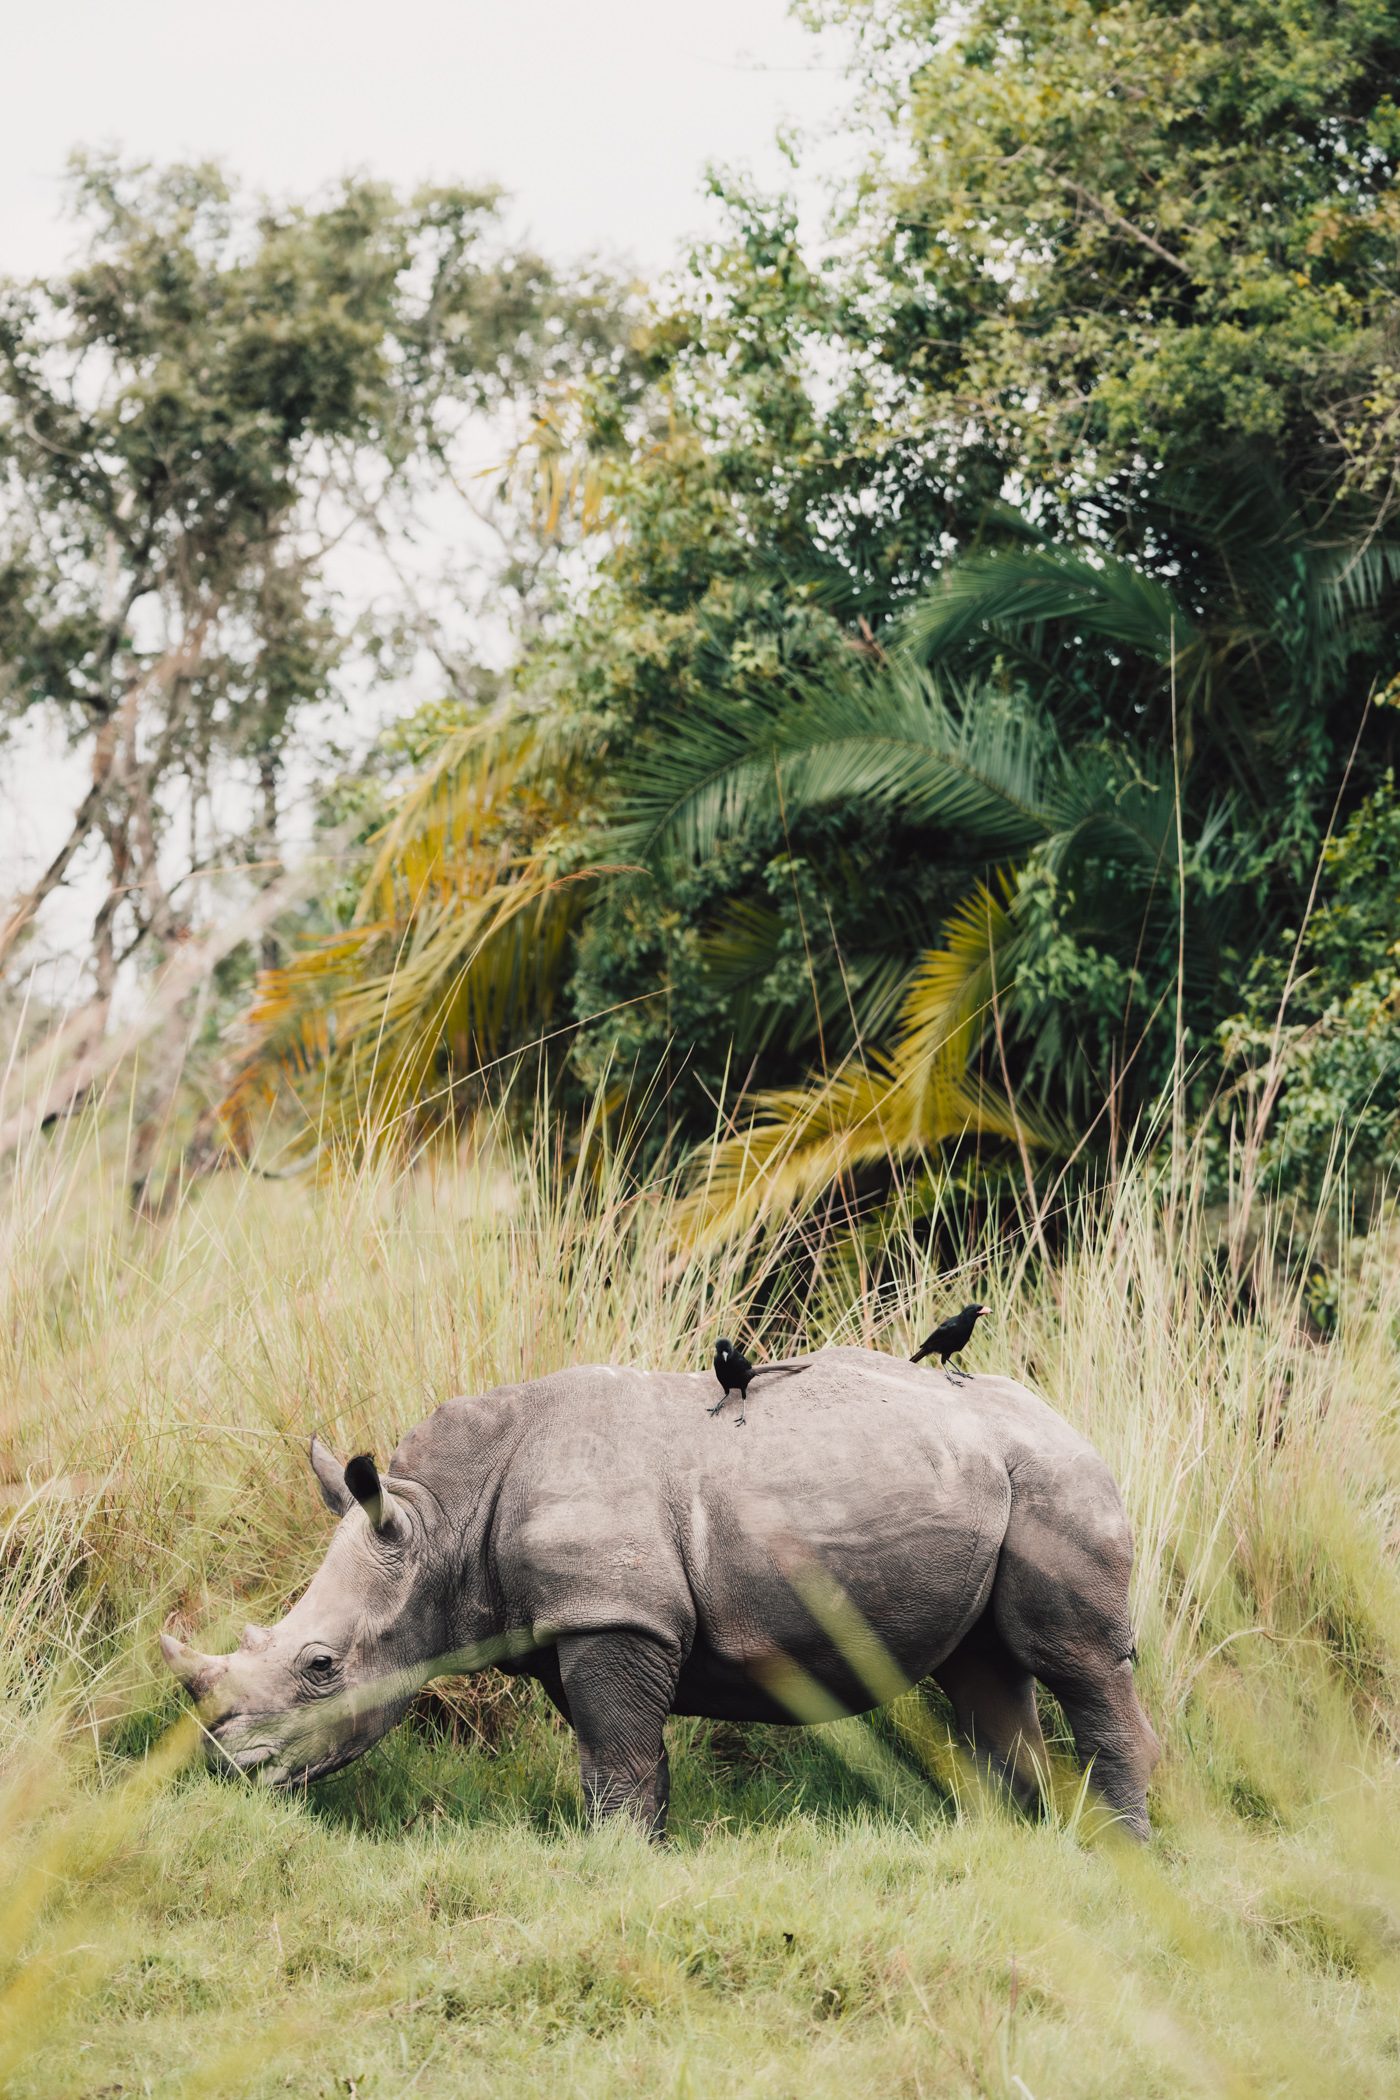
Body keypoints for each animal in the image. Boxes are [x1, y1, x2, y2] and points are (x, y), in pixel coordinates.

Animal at [161, 1347, 1161, 1837]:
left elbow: (617, 1750)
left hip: (1059, 1476)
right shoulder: (582, 1618)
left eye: (322, 1666)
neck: (441, 1520)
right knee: (984, 1671)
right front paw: (643, 1845)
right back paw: (1005, 1845)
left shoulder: (615, 1615)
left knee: (1074, 1661)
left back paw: (1121, 1846)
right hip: (989, 1478)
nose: (230, 1770)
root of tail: (1068, 1418)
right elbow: (621, 1754)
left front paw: (614, 1861)